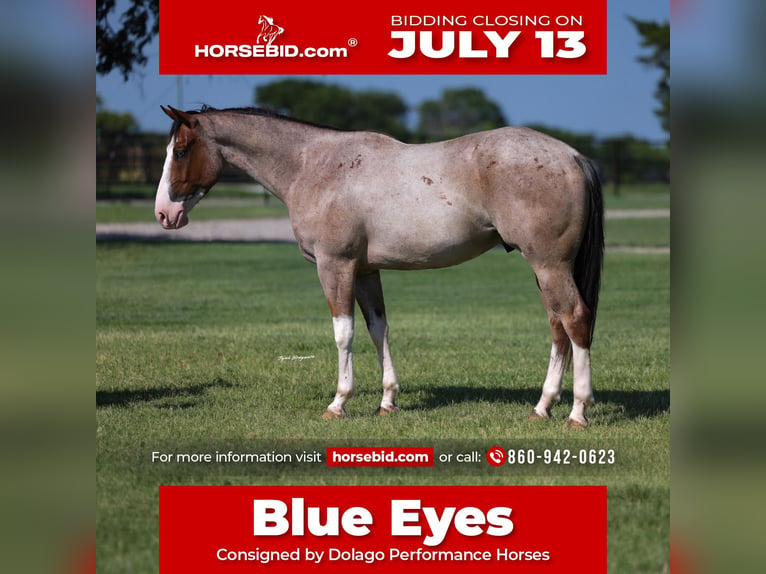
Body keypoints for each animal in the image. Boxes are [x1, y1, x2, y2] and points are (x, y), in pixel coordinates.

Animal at [155, 105, 604, 428]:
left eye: (181, 151)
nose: (164, 214)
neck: (313, 167)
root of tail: (572, 155)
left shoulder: (335, 267)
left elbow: (344, 333)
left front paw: (339, 402)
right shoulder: (366, 271)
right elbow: (378, 328)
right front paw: (388, 401)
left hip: (549, 265)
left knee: (575, 319)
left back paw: (577, 413)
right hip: (544, 270)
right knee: (558, 328)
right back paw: (542, 407)